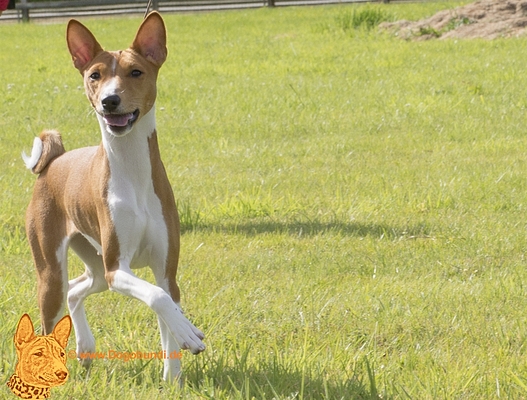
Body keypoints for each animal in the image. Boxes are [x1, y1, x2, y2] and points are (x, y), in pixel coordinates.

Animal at [22, 12, 205, 383]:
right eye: (95, 75)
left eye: (136, 72)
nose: (110, 100)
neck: (132, 172)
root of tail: (54, 162)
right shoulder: (117, 268)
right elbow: (158, 298)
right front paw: (189, 332)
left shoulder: (165, 269)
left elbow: (166, 305)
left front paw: (173, 378)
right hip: (53, 273)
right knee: (52, 316)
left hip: (94, 264)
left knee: (76, 289)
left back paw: (85, 347)